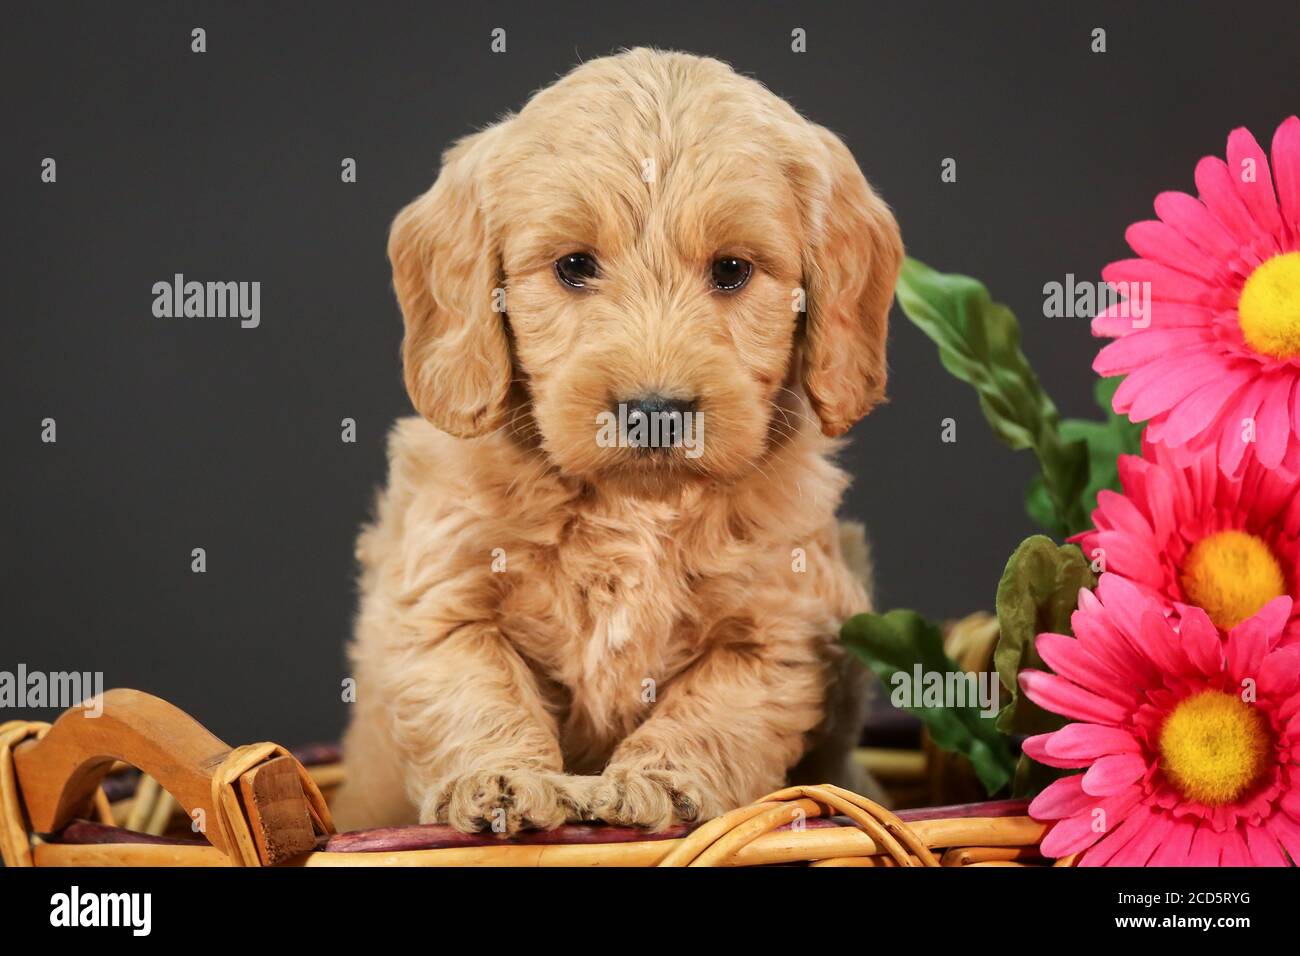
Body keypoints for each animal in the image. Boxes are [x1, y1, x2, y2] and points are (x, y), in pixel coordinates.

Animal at [332, 48, 904, 832]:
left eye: (732, 269)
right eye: (574, 265)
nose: (654, 410)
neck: (632, 507)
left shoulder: (781, 629)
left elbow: (714, 709)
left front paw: (660, 782)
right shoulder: (440, 595)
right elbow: (481, 690)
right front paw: (502, 780)